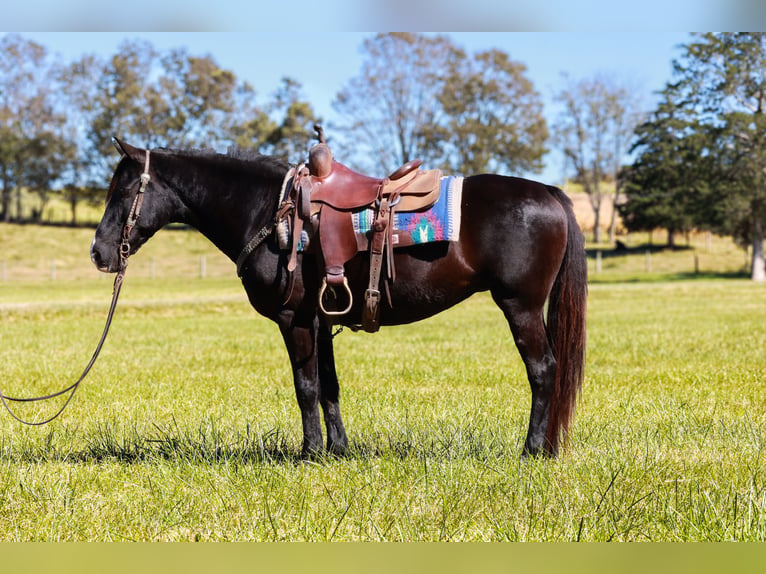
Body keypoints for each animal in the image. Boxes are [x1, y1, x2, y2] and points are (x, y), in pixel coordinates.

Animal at [90, 138, 587, 458]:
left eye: (124, 190)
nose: (98, 252)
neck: (269, 213)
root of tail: (549, 193)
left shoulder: (294, 319)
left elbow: (305, 387)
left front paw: (309, 453)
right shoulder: (321, 319)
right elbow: (329, 386)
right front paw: (338, 450)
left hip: (520, 306)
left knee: (544, 371)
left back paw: (532, 451)